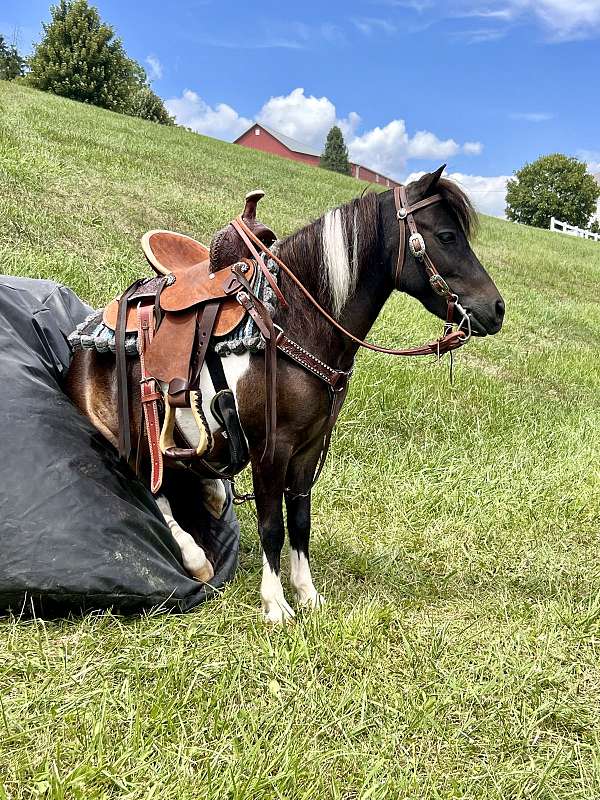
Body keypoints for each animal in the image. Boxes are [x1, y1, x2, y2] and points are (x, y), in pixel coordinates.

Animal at [67, 167, 506, 620]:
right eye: (447, 236)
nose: (497, 309)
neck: (295, 323)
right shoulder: (271, 449)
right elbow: (271, 525)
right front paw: (274, 602)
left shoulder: (308, 447)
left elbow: (299, 520)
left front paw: (307, 593)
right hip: (132, 434)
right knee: (153, 487)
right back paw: (196, 558)